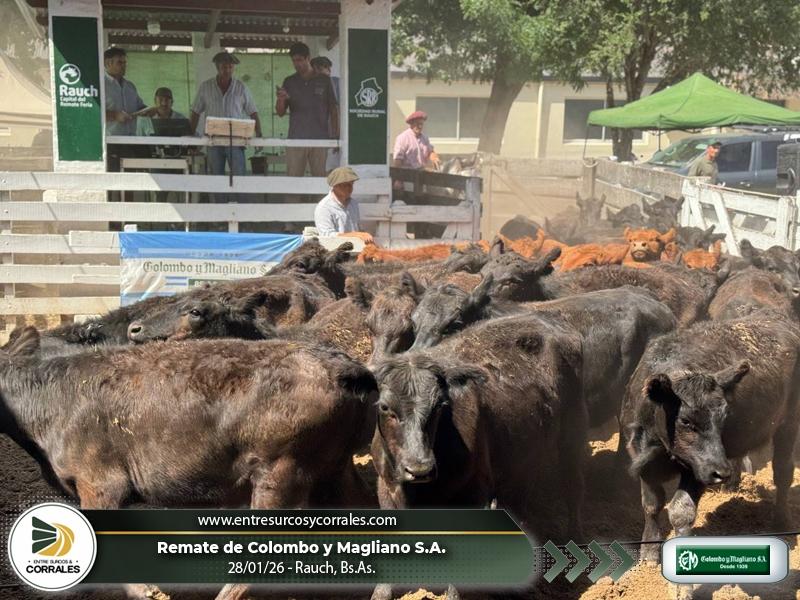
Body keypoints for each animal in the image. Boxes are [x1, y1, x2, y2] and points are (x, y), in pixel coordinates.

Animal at [621, 310, 800, 566]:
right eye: (685, 420)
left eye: (725, 415)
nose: (720, 472)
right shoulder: (642, 460)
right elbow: (651, 505)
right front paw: (648, 554)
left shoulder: (698, 469)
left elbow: (681, 510)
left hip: (788, 423)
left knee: (783, 472)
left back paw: (782, 522)